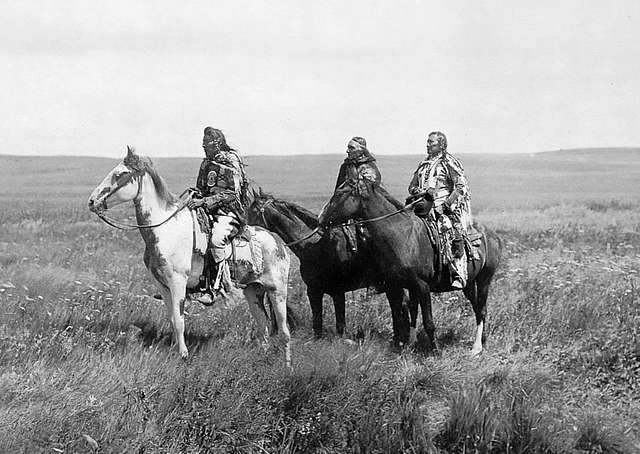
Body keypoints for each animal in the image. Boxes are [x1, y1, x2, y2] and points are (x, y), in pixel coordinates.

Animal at [87, 147, 292, 368]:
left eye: (121, 174)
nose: (92, 201)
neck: (166, 229)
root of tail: (279, 243)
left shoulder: (178, 282)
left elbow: (179, 321)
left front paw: (184, 355)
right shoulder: (163, 285)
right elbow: (172, 318)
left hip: (277, 290)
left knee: (284, 330)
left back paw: (287, 366)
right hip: (253, 290)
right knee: (263, 324)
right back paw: (264, 358)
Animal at [248, 189, 408, 344]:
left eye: (252, 210)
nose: (242, 227)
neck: (314, 246)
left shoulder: (333, 292)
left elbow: (337, 323)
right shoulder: (316, 291)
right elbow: (319, 320)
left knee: (399, 307)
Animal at [322, 179, 502, 356]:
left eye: (340, 193)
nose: (322, 218)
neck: (402, 236)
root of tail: (492, 235)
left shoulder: (422, 286)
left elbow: (428, 321)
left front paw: (435, 351)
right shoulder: (397, 286)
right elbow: (409, 314)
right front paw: (408, 345)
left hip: (484, 279)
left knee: (482, 309)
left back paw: (476, 348)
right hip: (469, 283)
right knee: (477, 308)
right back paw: (483, 340)